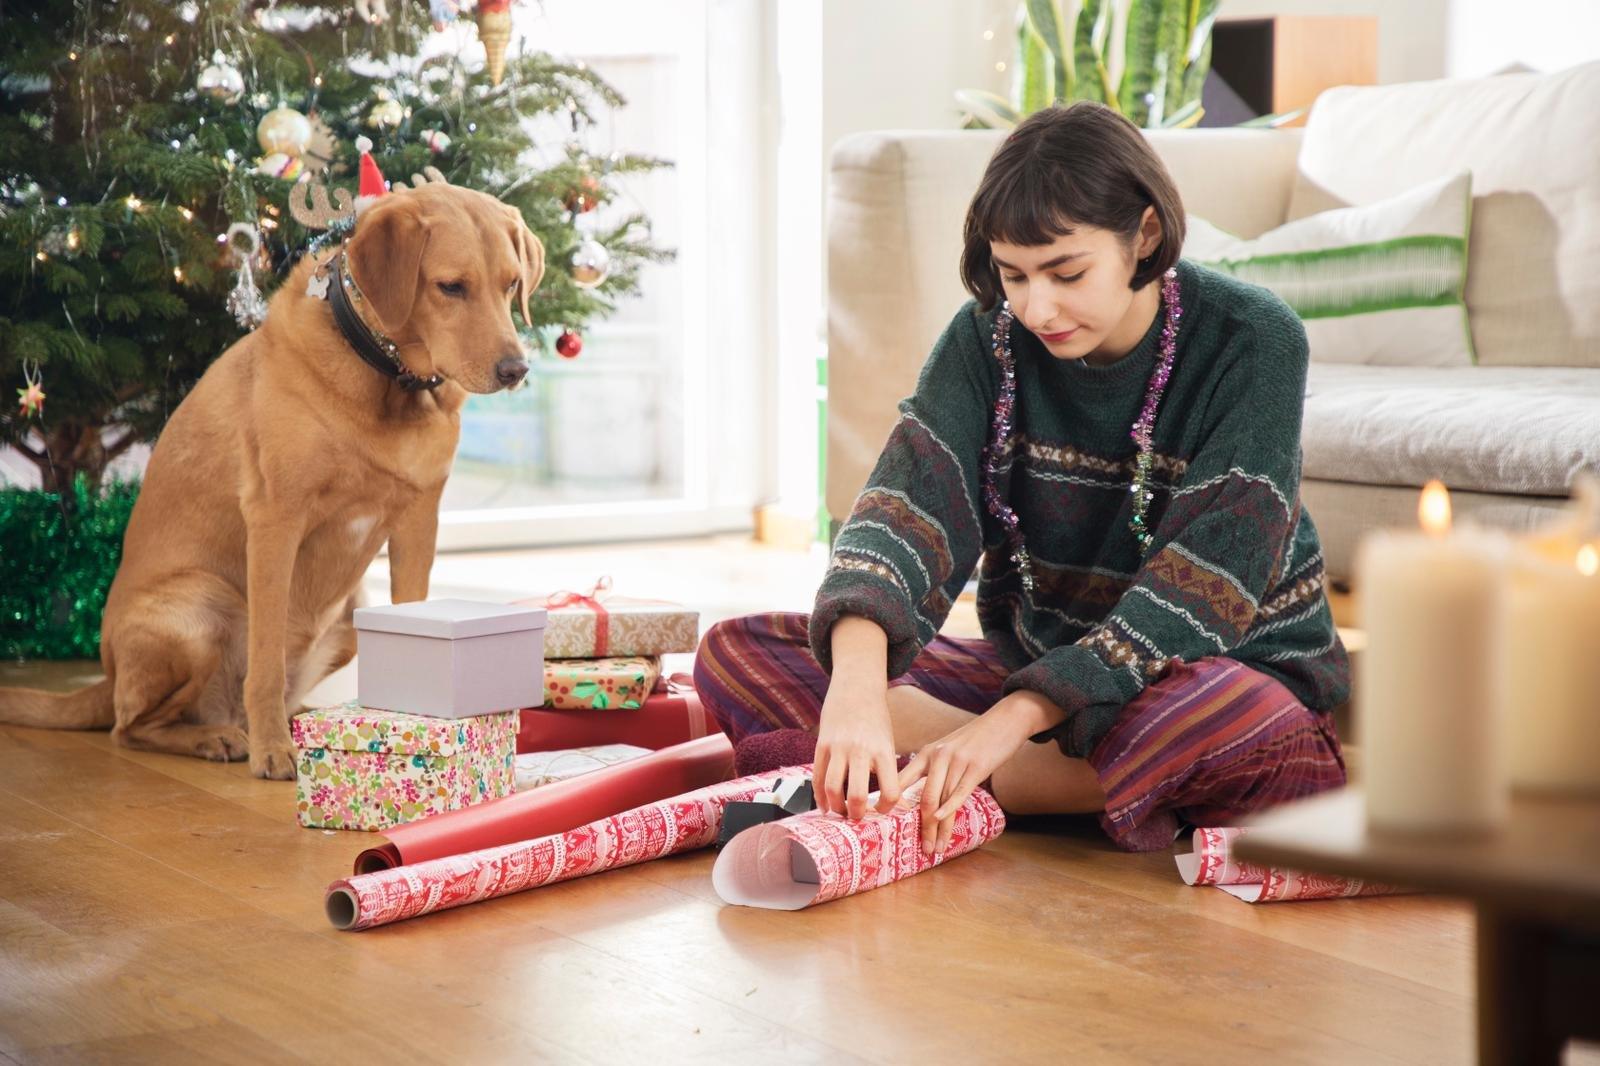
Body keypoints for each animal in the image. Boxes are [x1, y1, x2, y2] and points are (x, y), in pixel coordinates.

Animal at [0, 178, 544, 777]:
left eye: (511, 284)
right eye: (450, 286)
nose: (516, 370)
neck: (386, 375)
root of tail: (108, 677)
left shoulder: (419, 522)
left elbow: (412, 611)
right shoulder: (276, 518)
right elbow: (264, 656)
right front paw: (273, 750)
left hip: (351, 616)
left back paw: (297, 718)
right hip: (200, 610)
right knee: (131, 727)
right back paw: (221, 736)